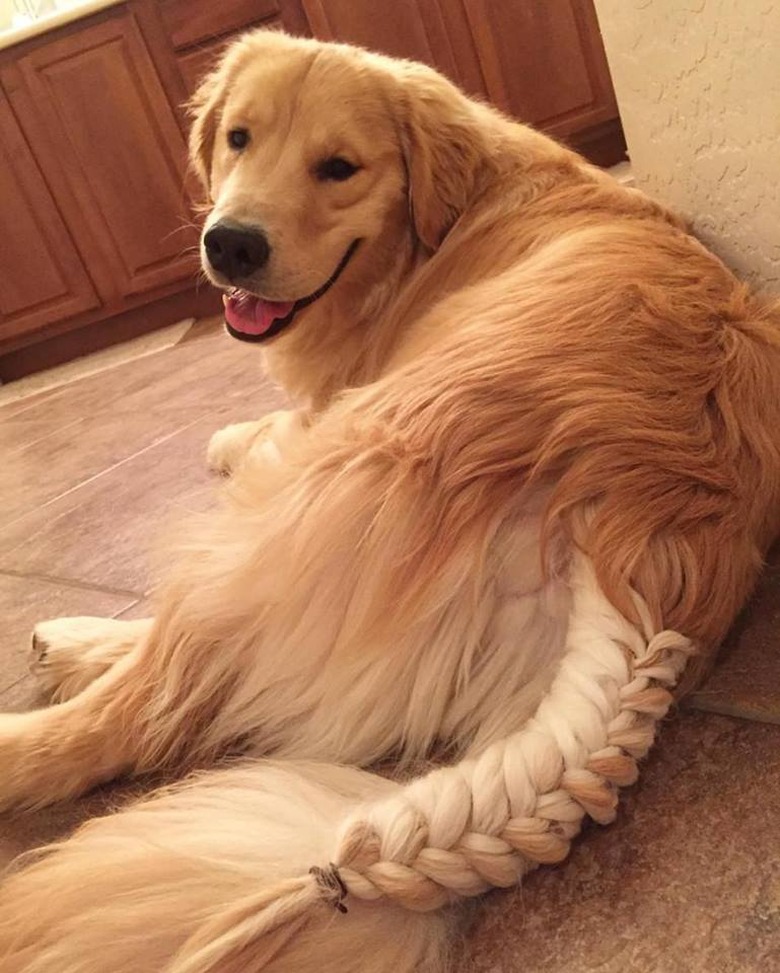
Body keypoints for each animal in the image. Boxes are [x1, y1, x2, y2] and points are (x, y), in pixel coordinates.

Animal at [1, 28, 780, 972]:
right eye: (239, 139)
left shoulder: (324, 409)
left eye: (338, 167)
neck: (433, 229)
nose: (231, 244)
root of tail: (630, 526)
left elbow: (264, 425)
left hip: (307, 495)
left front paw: (228, 434)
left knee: (149, 705)